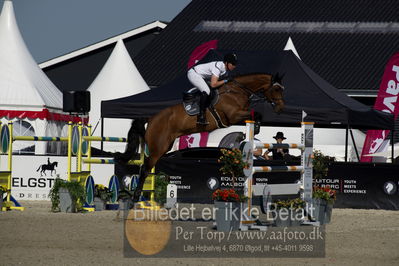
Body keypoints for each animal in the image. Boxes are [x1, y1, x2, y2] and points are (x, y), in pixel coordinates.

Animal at [115, 72, 284, 202]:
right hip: (158, 147)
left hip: (165, 146)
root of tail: (151, 119)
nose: (280, 108)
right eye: (276, 88)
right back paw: (136, 197)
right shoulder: (234, 116)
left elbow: (256, 115)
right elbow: (256, 114)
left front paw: (256, 128)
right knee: (144, 169)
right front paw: (256, 128)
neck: (237, 91)